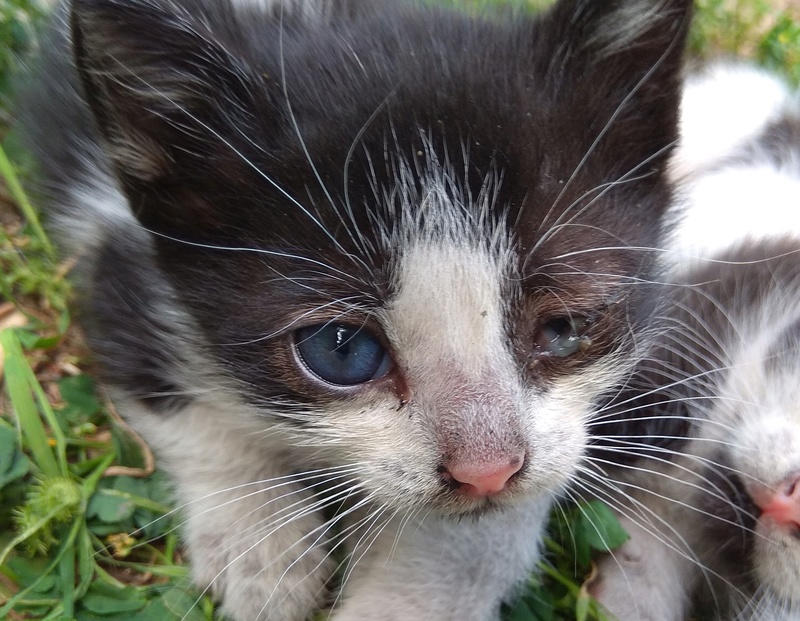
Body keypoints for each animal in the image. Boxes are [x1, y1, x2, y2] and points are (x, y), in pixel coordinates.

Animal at [21, 0, 692, 616]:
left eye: (566, 327)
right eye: (341, 350)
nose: (487, 471)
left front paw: (405, 596)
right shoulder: (118, 259)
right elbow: (175, 400)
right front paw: (259, 548)